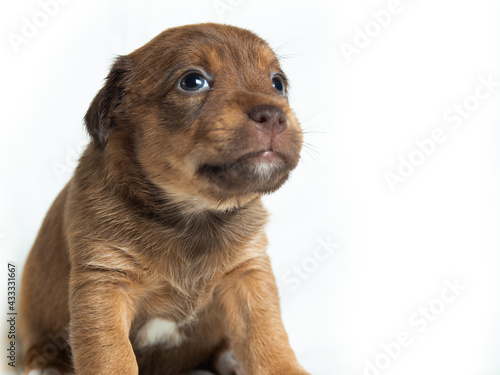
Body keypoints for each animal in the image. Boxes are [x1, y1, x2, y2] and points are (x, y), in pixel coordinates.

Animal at [19, 23, 306, 375]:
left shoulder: (247, 275)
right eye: (193, 82)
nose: (274, 115)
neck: (192, 217)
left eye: (278, 84)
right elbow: (112, 358)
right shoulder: (104, 283)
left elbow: (269, 344)